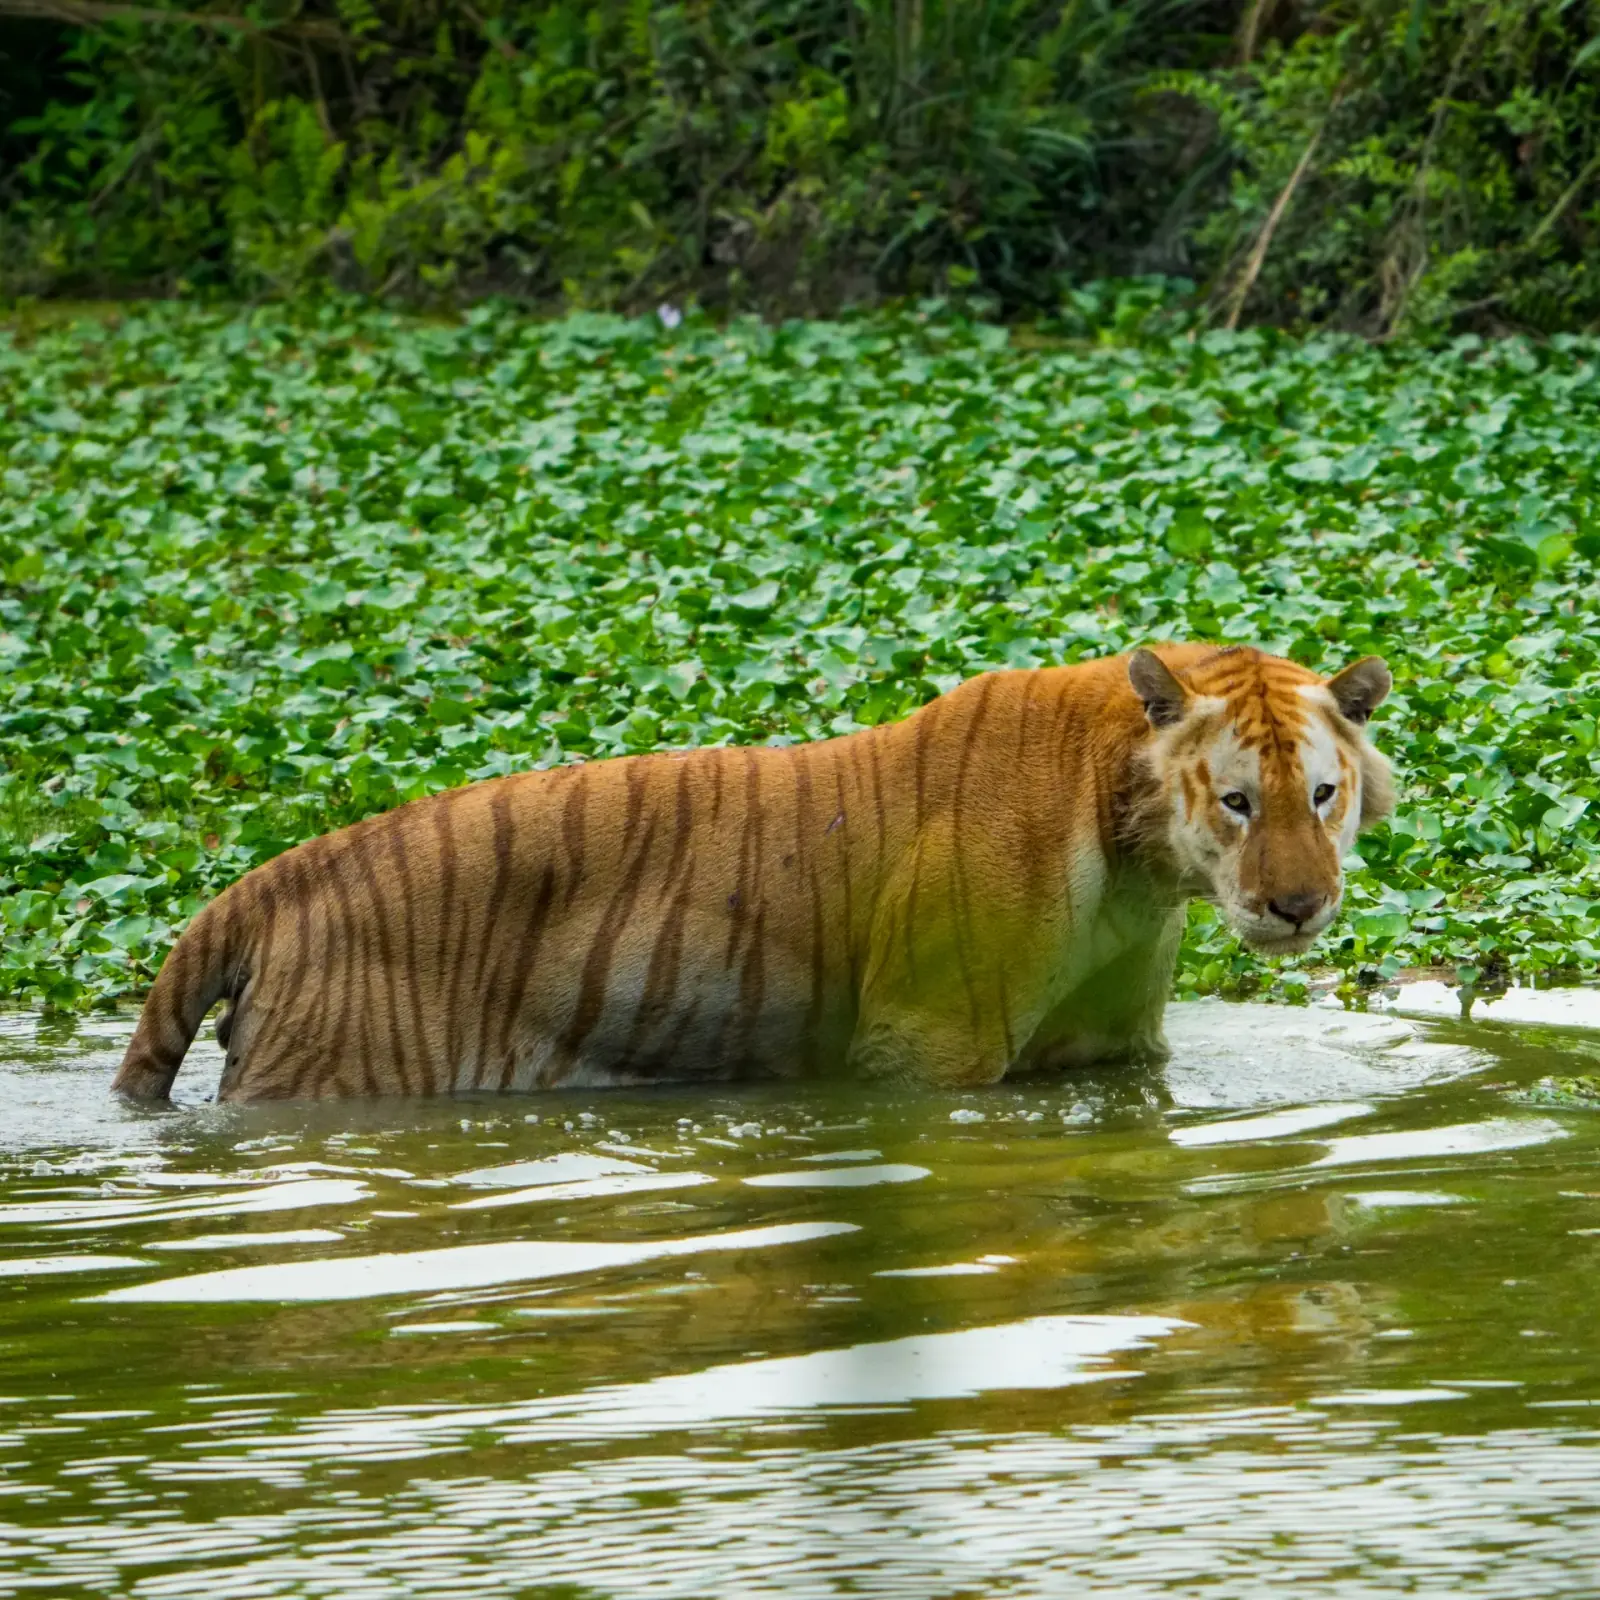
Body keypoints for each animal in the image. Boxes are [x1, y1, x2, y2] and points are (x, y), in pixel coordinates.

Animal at [110, 643, 1393, 1103]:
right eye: (1237, 800)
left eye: (1320, 794)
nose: (1297, 904)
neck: (1141, 871)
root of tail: (275, 875)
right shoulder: (924, 1051)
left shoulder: (1115, 1051)